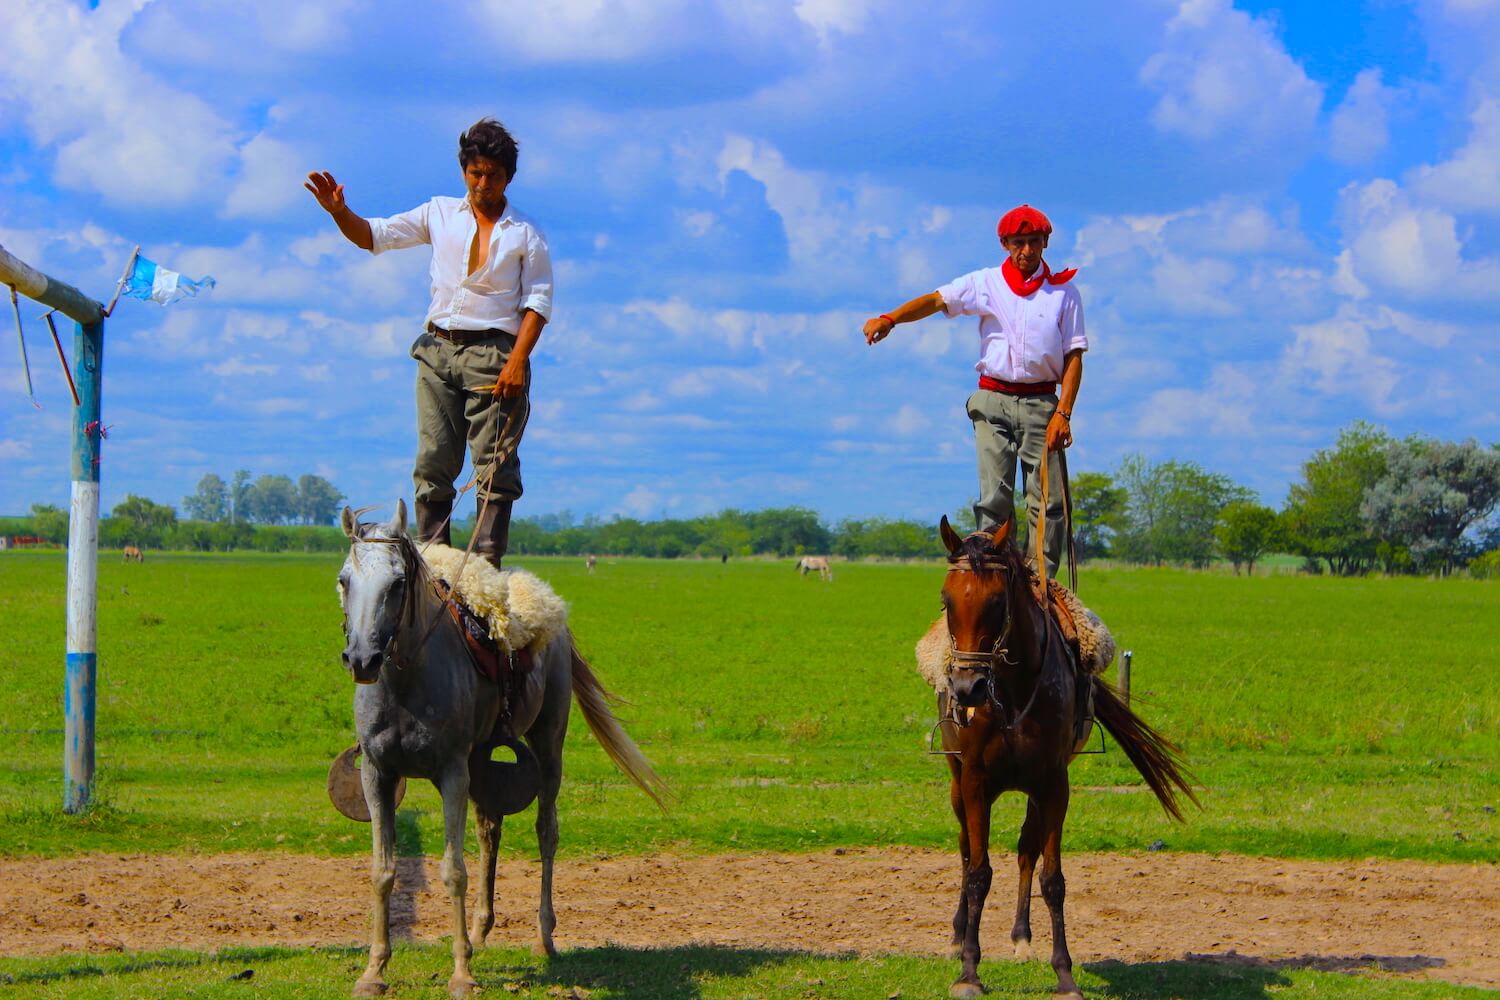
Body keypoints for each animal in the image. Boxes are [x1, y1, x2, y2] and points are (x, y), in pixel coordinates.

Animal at [337, 501, 668, 998]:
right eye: (344, 580)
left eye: (397, 583)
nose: (362, 659)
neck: (407, 682)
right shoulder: (377, 774)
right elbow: (383, 871)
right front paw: (374, 971)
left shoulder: (452, 773)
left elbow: (453, 870)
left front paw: (461, 974)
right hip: (483, 761)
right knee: (489, 832)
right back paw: (478, 931)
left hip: (548, 745)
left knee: (546, 832)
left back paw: (543, 939)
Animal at [934, 516, 1196, 999]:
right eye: (946, 601)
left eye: (997, 602)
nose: (966, 689)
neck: (1012, 693)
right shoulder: (976, 781)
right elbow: (978, 871)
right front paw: (969, 972)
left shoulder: (1054, 785)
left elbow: (1052, 878)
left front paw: (1064, 974)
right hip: (957, 784)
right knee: (966, 852)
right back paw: (960, 934)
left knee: (1026, 851)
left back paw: (1021, 937)